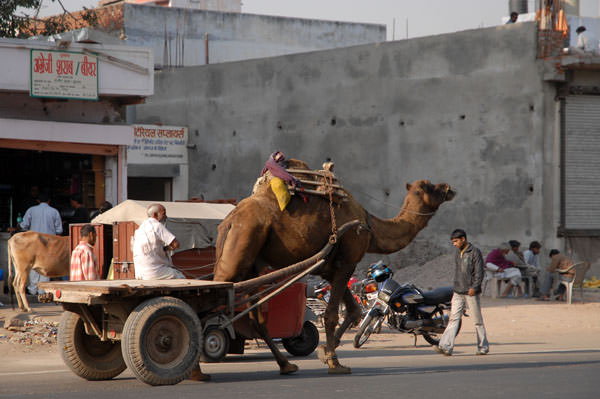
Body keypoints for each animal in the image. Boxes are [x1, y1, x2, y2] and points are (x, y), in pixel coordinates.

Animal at [213, 159, 458, 376]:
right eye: (430, 186)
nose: (449, 187)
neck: (369, 226)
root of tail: (229, 221)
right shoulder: (347, 261)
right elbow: (332, 315)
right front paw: (334, 362)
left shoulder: (331, 269)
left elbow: (354, 310)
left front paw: (324, 351)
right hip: (241, 244)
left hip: (251, 263)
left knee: (257, 319)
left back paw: (286, 365)